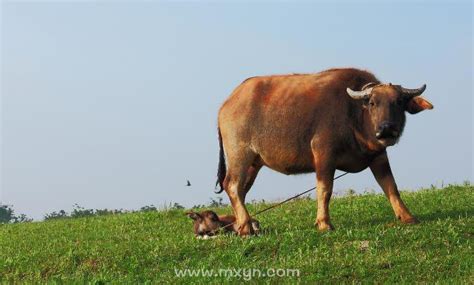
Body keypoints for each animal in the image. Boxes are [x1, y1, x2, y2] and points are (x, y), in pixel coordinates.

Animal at [215, 67, 434, 234]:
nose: (386, 129)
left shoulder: (378, 156)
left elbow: (390, 186)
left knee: (241, 190)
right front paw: (324, 223)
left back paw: (242, 225)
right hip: (239, 154)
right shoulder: (324, 153)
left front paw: (407, 216)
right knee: (232, 185)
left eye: (399, 102)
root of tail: (226, 104)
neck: (353, 114)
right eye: (372, 103)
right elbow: (325, 189)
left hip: (254, 162)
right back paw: (245, 227)